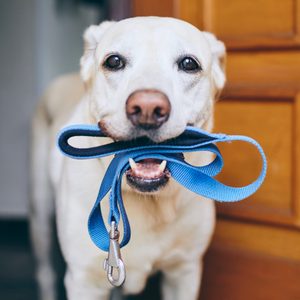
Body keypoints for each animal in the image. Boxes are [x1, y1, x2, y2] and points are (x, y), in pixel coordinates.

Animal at [30, 16, 226, 300]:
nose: (147, 108)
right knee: (44, 272)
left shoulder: (184, 272)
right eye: (114, 61)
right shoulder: (84, 281)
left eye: (189, 64)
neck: (147, 201)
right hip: (40, 216)